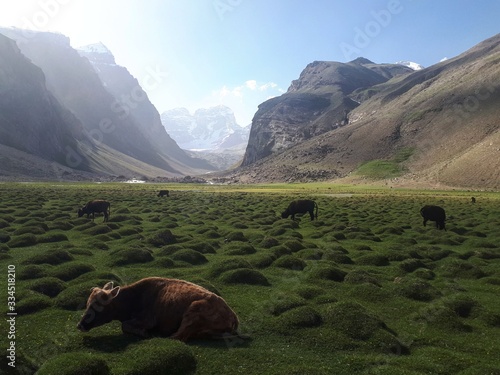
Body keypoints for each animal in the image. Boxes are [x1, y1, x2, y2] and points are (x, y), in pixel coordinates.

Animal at [76, 278, 242, 342]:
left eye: (96, 306)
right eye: (87, 303)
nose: (79, 325)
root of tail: (233, 317)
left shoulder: (149, 320)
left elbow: (125, 326)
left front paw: (143, 333)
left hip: (193, 311)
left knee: (179, 336)